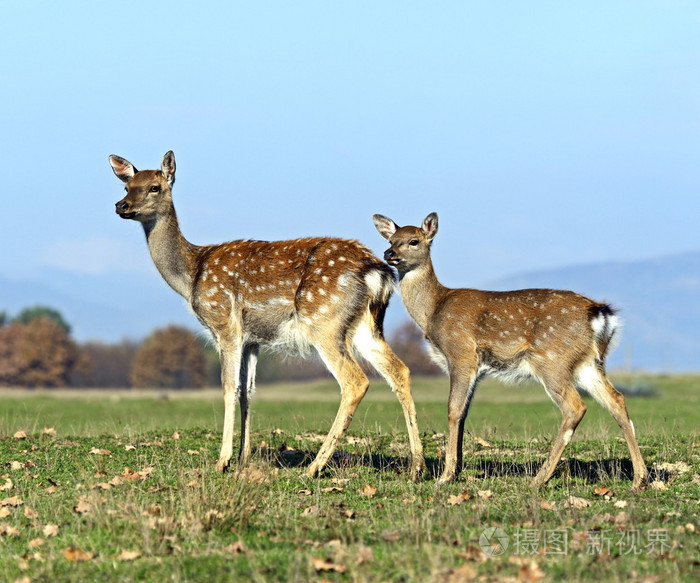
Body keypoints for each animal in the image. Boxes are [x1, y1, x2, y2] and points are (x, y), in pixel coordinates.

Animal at [108, 151, 426, 480]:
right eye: (126, 186)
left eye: (154, 187)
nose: (121, 206)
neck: (193, 274)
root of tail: (377, 273)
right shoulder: (252, 339)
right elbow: (247, 392)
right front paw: (243, 458)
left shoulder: (225, 324)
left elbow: (228, 388)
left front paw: (222, 461)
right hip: (367, 325)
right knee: (399, 370)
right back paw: (417, 466)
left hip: (324, 321)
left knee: (355, 381)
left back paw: (314, 467)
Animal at [373, 212, 648, 491]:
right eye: (391, 239)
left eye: (414, 241)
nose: (388, 253)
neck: (433, 311)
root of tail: (600, 314)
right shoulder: (476, 369)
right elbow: (464, 413)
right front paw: (457, 470)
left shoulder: (460, 352)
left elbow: (453, 409)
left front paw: (445, 475)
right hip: (589, 363)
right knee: (617, 400)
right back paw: (639, 479)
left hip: (552, 360)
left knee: (575, 407)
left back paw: (539, 478)